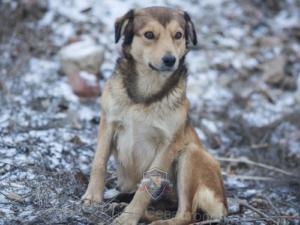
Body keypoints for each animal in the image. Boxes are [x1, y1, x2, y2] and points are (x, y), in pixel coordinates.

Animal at [81, 6, 226, 224]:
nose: (170, 60)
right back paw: (123, 207)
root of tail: (225, 204)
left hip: (190, 155)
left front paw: (127, 219)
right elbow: (99, 162)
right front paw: (92, 197)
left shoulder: (168, 145)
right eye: (149, 35)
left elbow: (146, 187)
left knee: (186, 215)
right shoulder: (108, 122)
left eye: (178, 35)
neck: (145, 94)